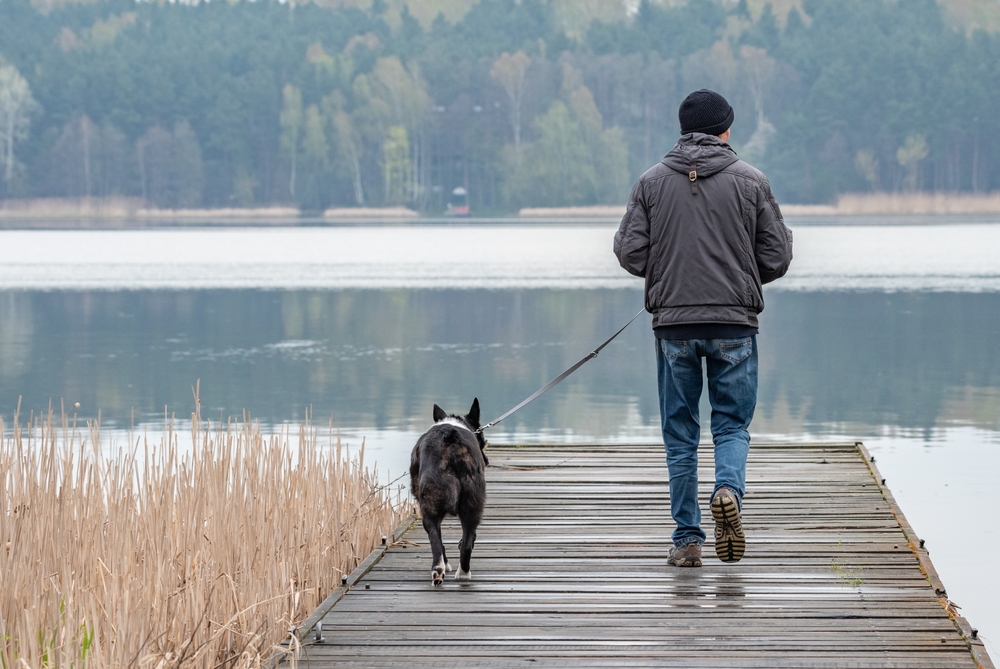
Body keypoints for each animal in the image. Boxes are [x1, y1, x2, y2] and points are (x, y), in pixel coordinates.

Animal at [410, 400, 488, 580]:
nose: (486, 460)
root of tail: (451, 443)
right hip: (471, 503)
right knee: (465, 542)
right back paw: (454, 573)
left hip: (430, 506)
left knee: (438, 541)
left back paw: (446, 571)